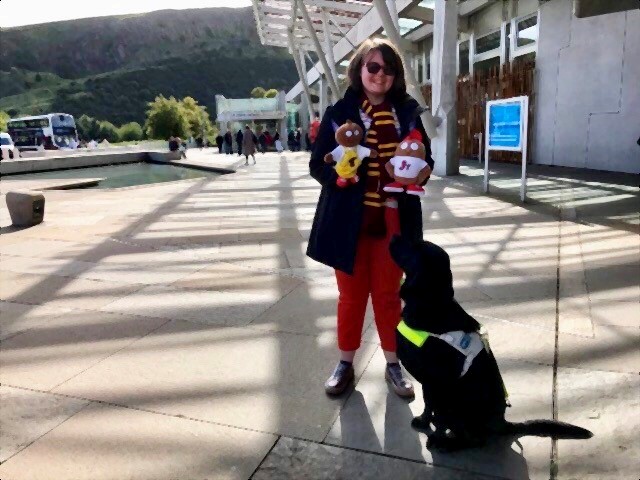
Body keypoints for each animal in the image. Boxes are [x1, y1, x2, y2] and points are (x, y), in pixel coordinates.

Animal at [388, 238, 592, 452]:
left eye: (416, 246)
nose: (392, 237)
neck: (431, 306)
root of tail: (503, 423)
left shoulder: (440, 383)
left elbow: (440, 415)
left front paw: (436, 437)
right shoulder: (429, 384)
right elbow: (428, 405)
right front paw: (423, 420)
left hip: (460, 405)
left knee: (474, 439)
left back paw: (449, 444)